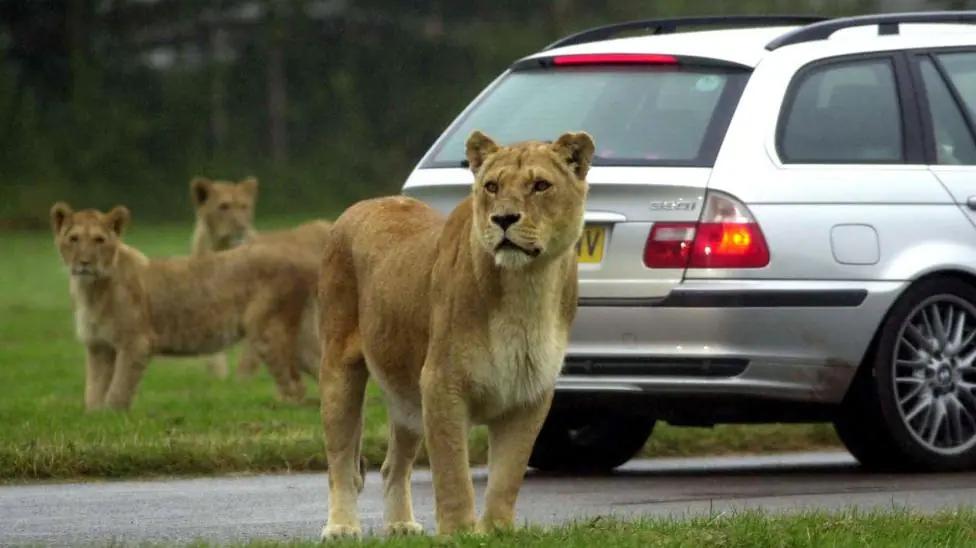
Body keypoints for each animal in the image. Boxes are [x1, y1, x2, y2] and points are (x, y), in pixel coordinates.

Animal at [51, 202, 321, 411]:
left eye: (99, 240)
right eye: (73, 239)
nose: (84, 263)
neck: (90, 290)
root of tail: (307, 261)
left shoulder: (135, 344)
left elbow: (118, 390)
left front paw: (114, 416)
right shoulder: (99, 348)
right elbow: (93, 392)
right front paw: (96, 416)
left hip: (266, 330)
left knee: (295, 385)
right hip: (300, 337)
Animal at [188, 175, 331, 380]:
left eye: (244, 206)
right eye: (223, 206)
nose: (241, 227)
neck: (222, 250)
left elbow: (248, 357)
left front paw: (241, 381)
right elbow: (213, 357)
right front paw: (220, 379)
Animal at [316, 130, 594, 539]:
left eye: (541, 185)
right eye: (492, 186)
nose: (503, 218)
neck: (525, 286)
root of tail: (361, 205)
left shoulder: (530, 392)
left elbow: (508, 473)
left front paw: (497, 531)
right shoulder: (441, 382)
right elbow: (452, 472)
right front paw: (460, 532)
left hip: (406, 393)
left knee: (392, 465)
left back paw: (400, 525)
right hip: (340, 370)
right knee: (341, 463)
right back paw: (341, 528)